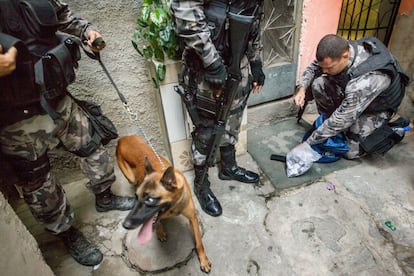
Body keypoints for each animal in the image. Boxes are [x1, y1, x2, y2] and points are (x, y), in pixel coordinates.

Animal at [116, 135, 212, 272]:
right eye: (137, 197)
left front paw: (204, 260)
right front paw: (160, 231)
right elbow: (156, 221)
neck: (172, 206)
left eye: (150, 199)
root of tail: (123, 138)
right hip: (130, 177)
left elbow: (199, 243)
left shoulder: (193, 217)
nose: (125, 225)